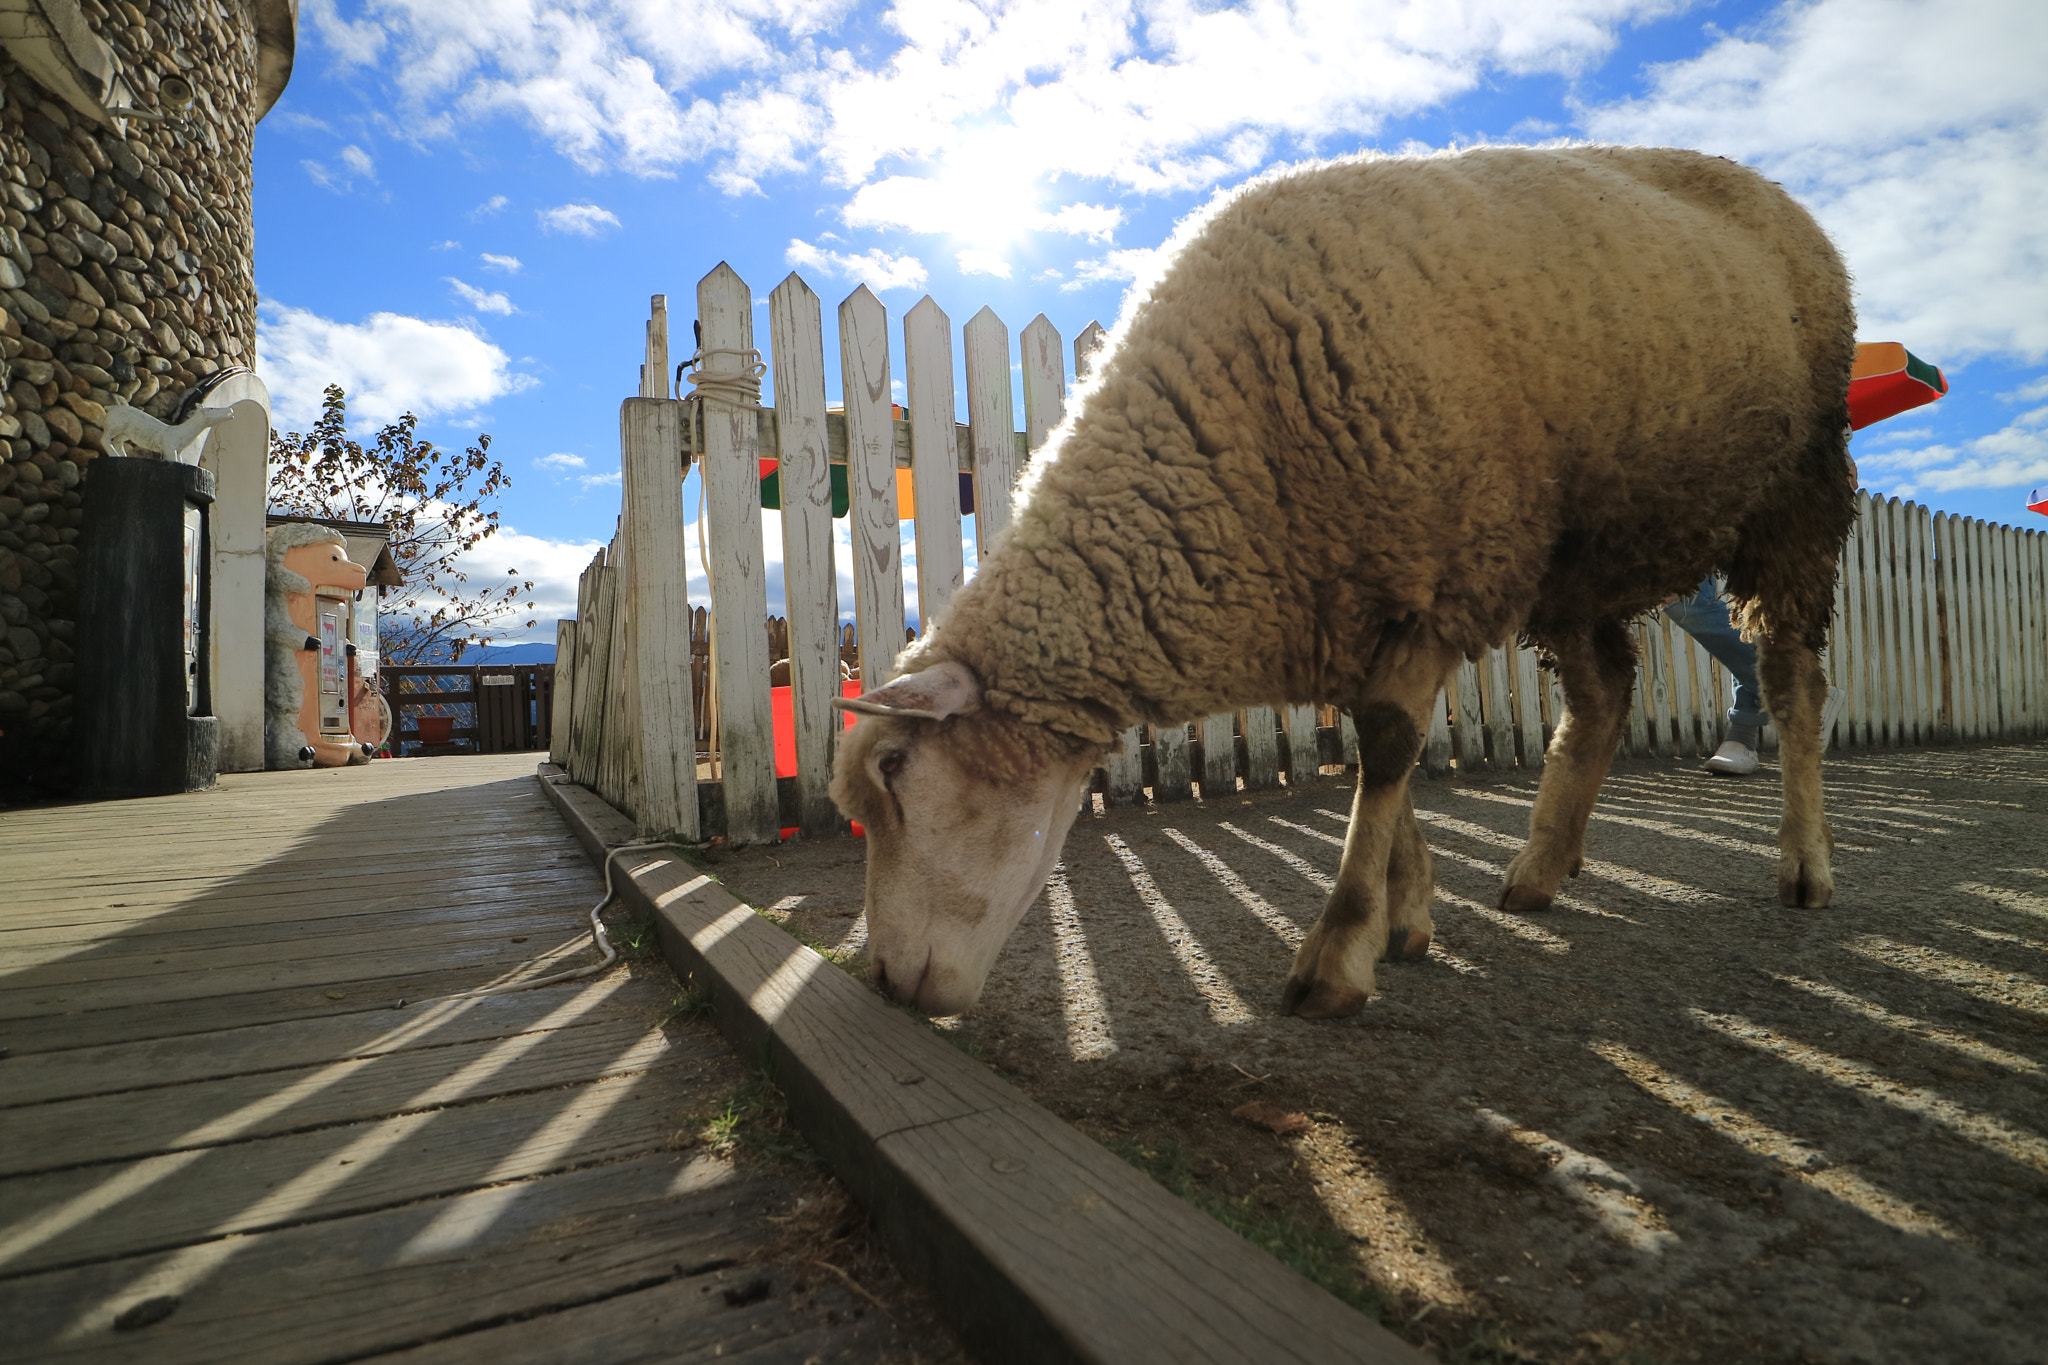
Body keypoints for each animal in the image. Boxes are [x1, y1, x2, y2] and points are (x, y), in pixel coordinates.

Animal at [827, 147, 1859, 1023]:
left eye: (896, 772)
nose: (881, 981)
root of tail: (1783, 200)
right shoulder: (1347, 596)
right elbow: (1377, 753)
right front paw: (1410, 913)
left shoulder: (1433, 576)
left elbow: (1389, 745)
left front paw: (1339, 951)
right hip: (1574, 552)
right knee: (1605, 689)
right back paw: (1539, 868)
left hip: (1797, 491)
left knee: (1793, 679)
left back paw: (1806, 866)